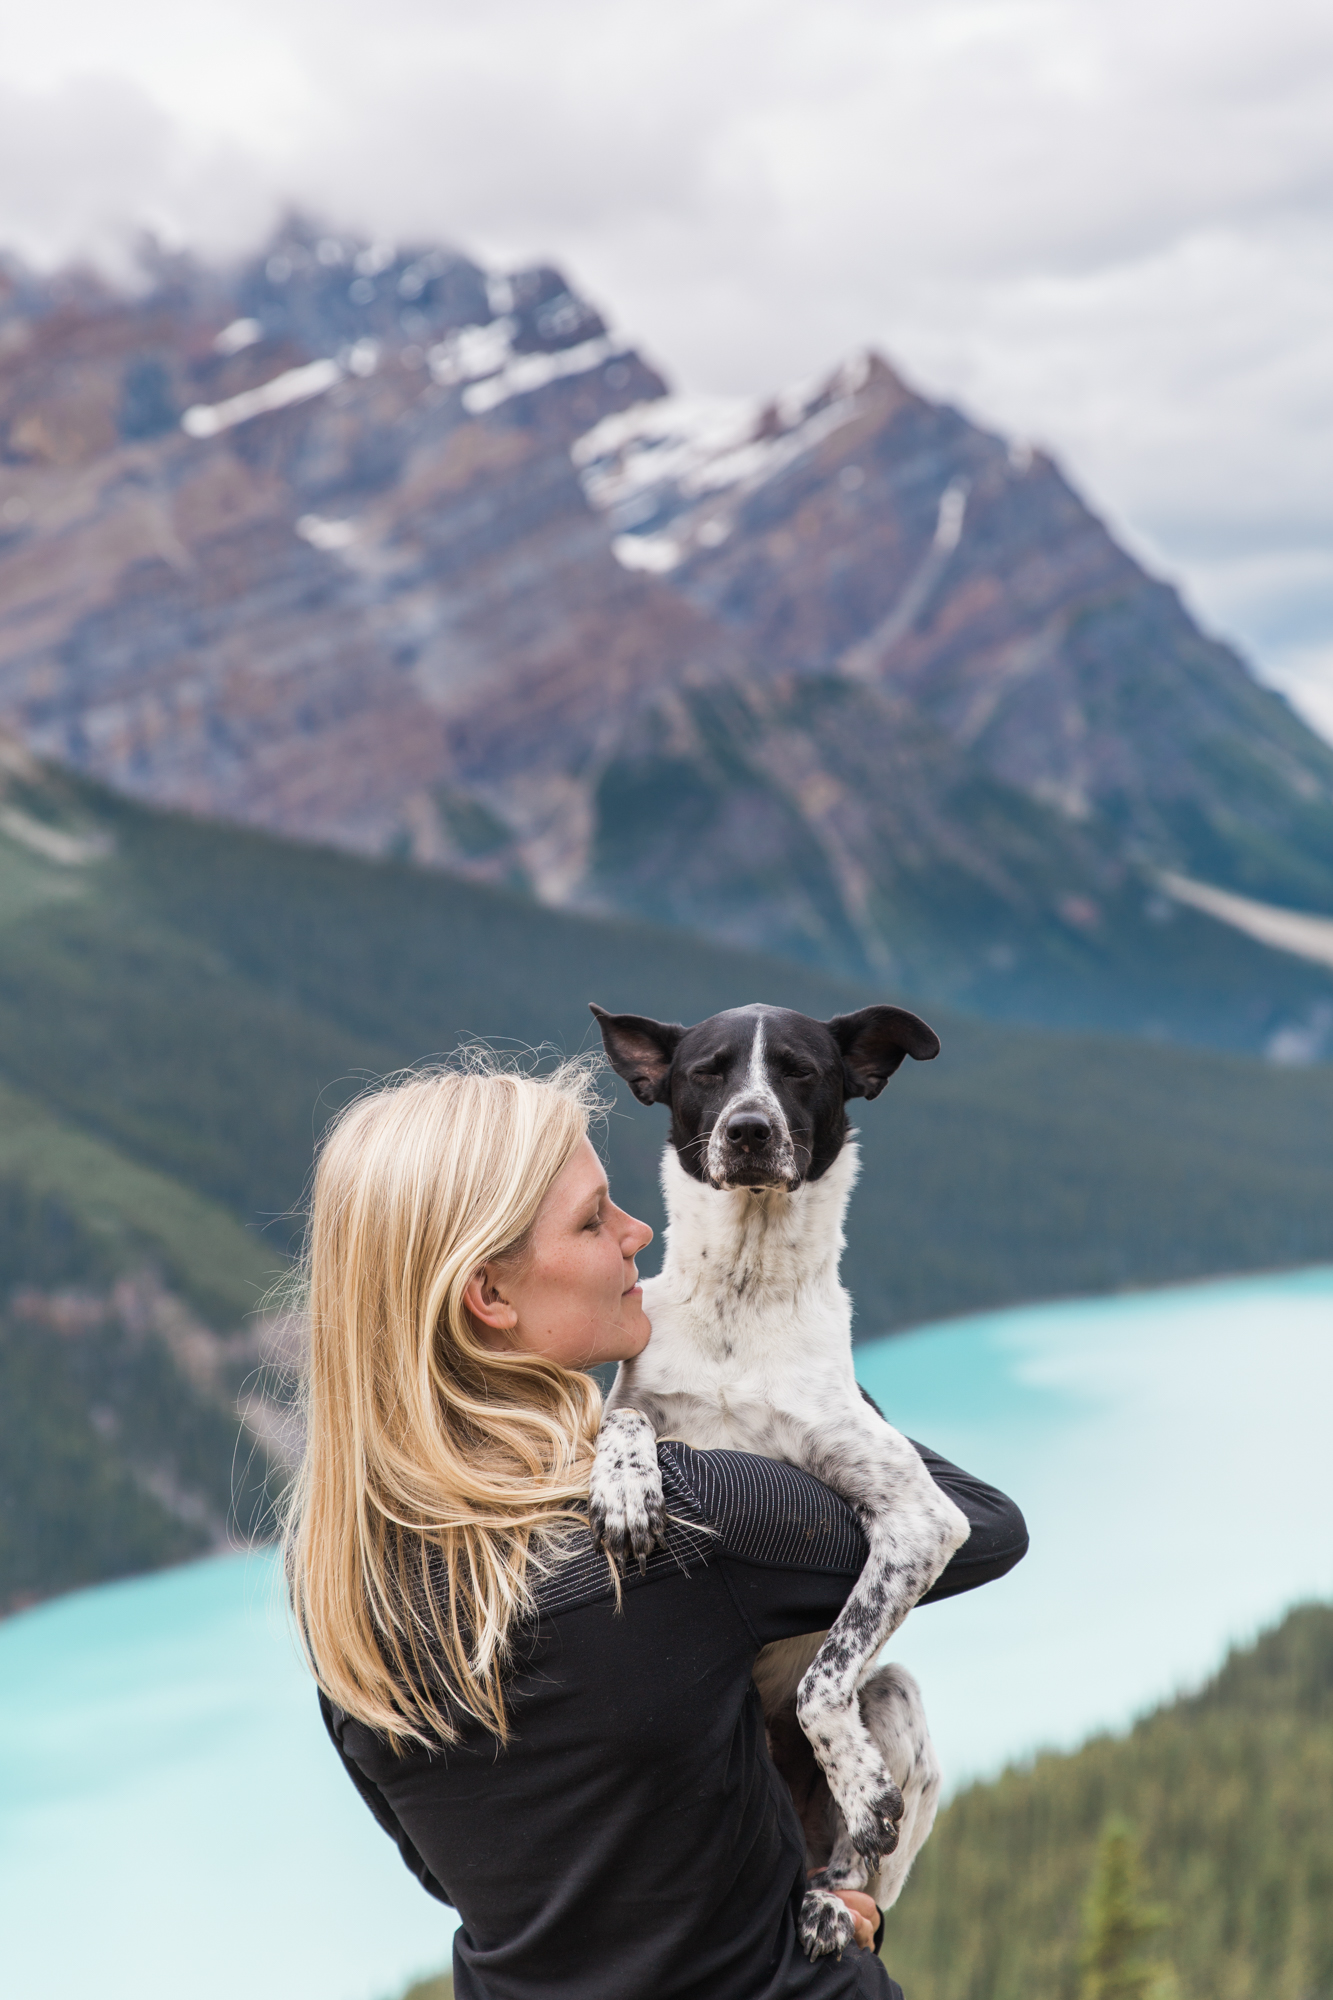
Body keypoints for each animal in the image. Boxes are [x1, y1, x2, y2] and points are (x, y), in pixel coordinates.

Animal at [588, 1000, 960, 1952]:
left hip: (896, 1697)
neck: (743, 1297)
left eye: (798, 1069)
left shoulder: (921, 1518)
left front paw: (860, 1789)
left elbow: (824, 1680)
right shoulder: (638, 1397)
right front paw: (627, 1486)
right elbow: (623, 1419)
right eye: (707, 1070)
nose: (748, 1130)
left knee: (858, 1859)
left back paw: (831, 1896)